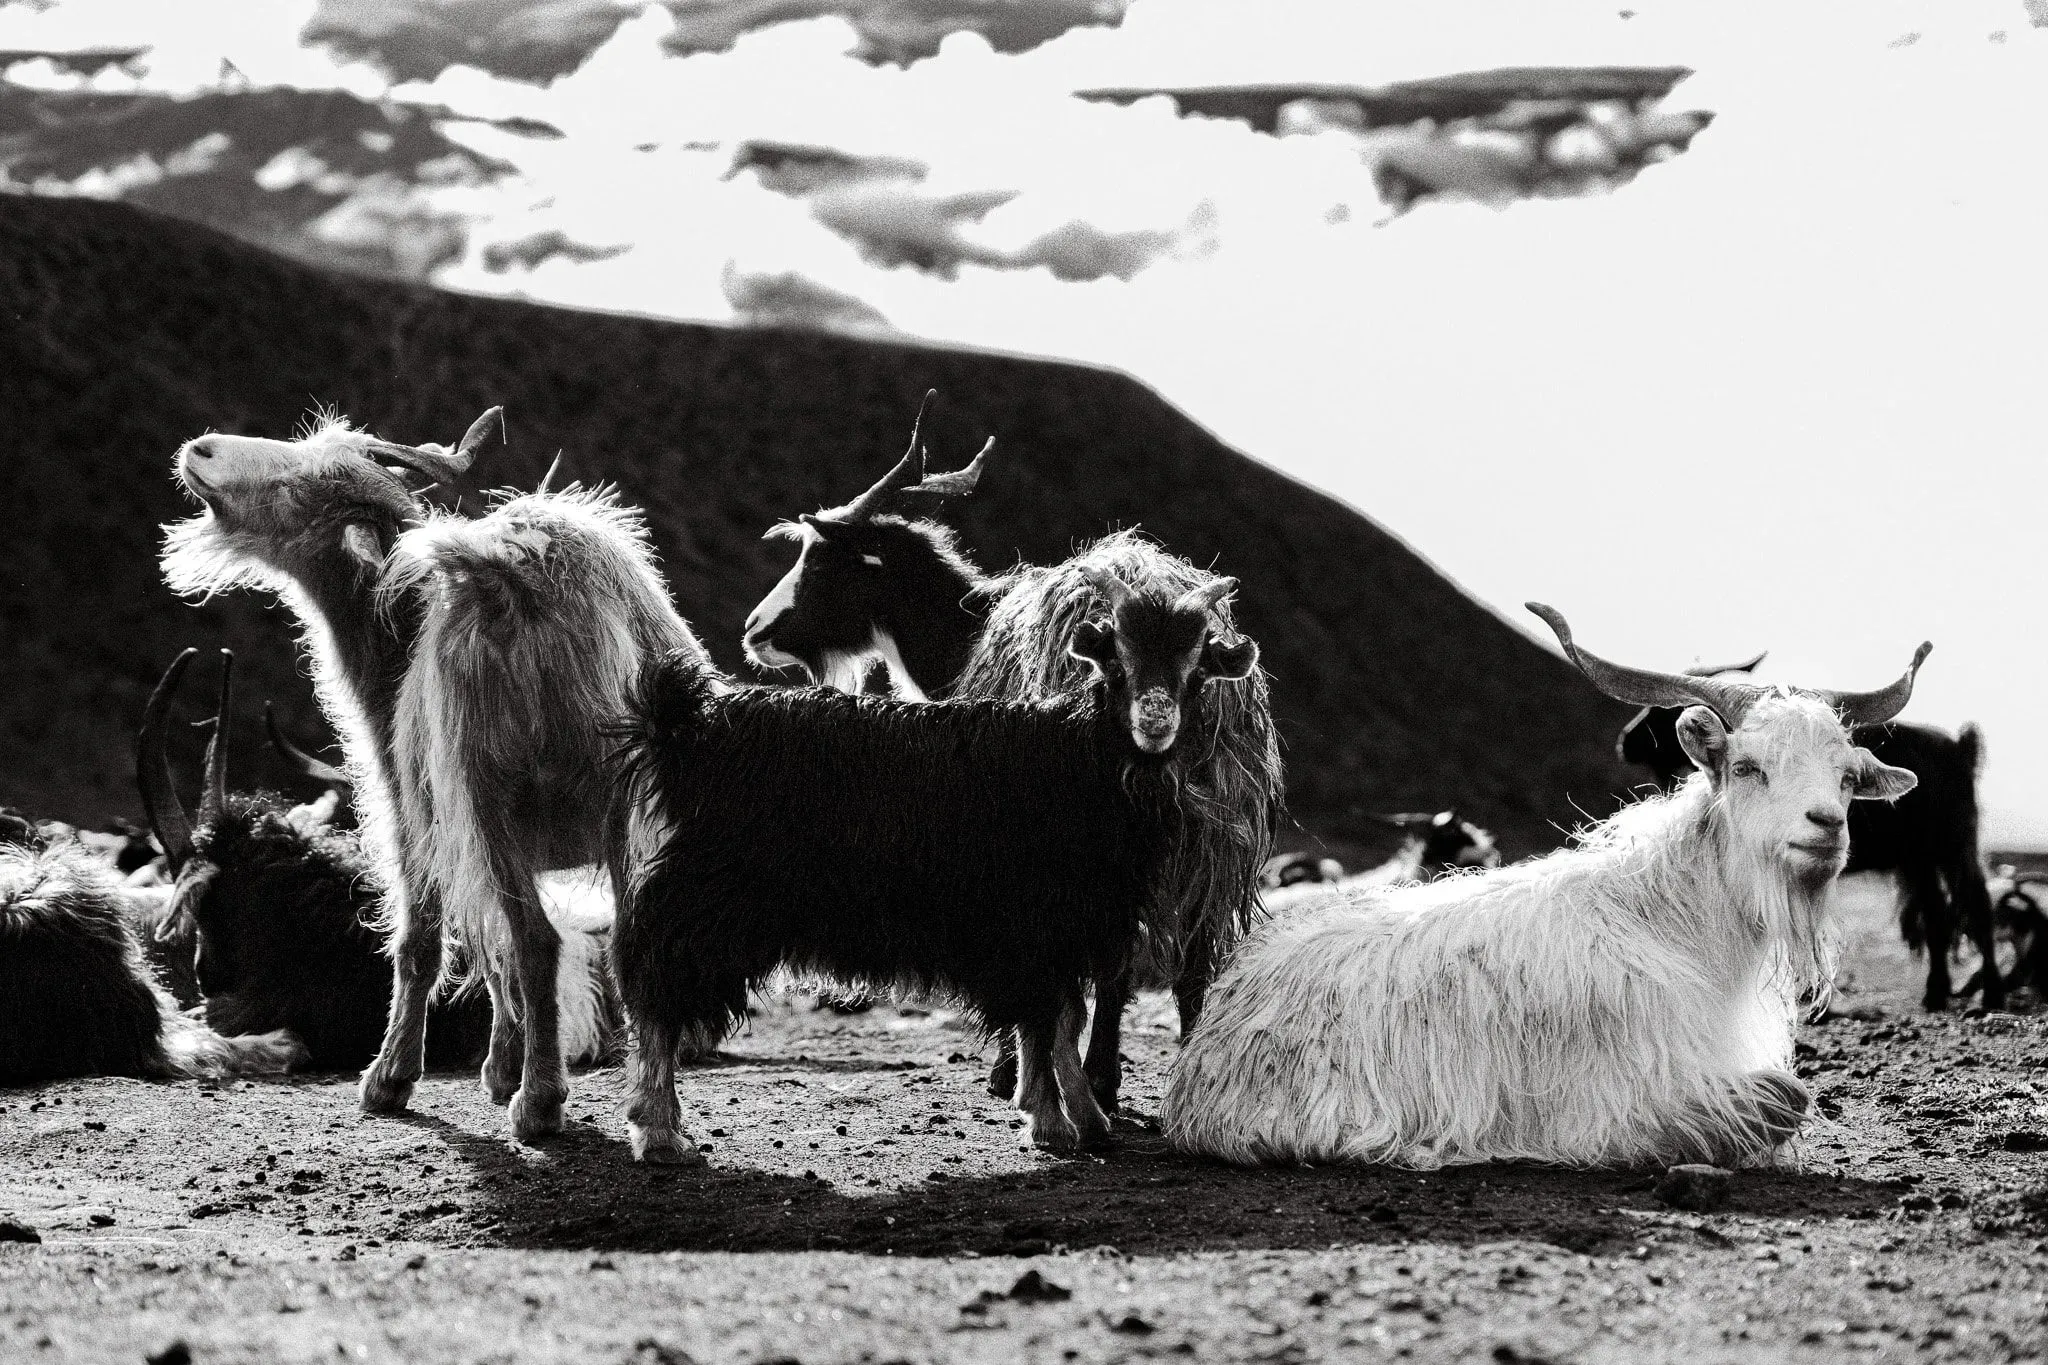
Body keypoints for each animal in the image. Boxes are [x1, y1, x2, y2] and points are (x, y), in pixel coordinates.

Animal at [609, 579, 1260, 1162]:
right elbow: (1043, 1016)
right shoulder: (1030, 923)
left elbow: (1065, 1016)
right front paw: (1051, 1121)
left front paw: (1083, 1116)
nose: (1155, 719)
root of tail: (689, 725)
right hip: (702, 900)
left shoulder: (1071, 926)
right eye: (1116, 663)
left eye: (1197, 671)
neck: (1080, 756)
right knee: (653, 992)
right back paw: (659, 1132)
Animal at [745, 392, 1282, 1109]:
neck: (967, 633)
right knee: (1188, 962)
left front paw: (1007, 1069)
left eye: (823, 561)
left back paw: (1097, 1077)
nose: (754, 631)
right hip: (1209, 841)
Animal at [1163, 605, 1925, 1169]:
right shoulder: (1629, 1098)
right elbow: (1786, 1097)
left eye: (1848, 778)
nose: (1825, 826)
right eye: (1747, 766)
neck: (1671, 920)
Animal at [1619, 657, 1999, 1011]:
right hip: (1921, 858)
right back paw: (1937, 992)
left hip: (1955, 844)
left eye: (1666, 711)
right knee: (1936, 912)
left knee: (1976, 906)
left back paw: (1987, 994)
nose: (1625, 742)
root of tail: (1961, 746)